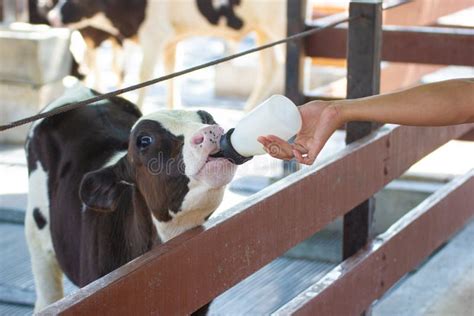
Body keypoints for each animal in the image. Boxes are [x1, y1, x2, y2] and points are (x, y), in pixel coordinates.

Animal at [41, 0, 286, 110]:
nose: (52, 16)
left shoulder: (154, 33)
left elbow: (144, 76)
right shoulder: (170, 41)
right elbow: (171, 73)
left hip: (277, 24)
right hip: (263, 30)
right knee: (270, 68)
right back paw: (248, 111)